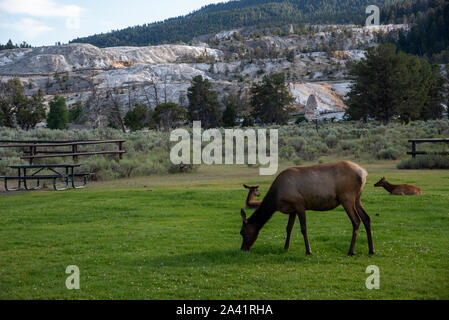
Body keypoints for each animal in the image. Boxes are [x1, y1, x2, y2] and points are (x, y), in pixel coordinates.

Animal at [238, 161, 374, 256]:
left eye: (243, 232)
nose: (243, 249)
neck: (276, 200)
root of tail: (364, 173)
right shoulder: (292, 209)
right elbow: (288, 228)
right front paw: (286, 247)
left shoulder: (299, 204)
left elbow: (303, 228)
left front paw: (308, 250)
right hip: (357, 198)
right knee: (367, 218)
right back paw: (371, 250)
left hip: (347, 197)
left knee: (356, 221)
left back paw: (351, 251)